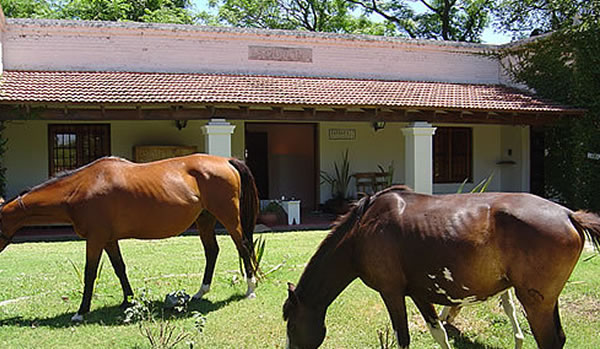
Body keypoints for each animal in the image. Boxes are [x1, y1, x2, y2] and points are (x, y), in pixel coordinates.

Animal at [0, 152, 258, 320]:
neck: (82, 187)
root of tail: (226, 161)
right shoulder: (108, 239)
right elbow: (119, 268)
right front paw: (129, 300)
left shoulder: (95, 239)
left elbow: (90, 273)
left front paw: (81, 312)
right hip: (205, 219)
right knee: (212, 251)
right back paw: (200, 292)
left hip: (228, 219)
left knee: (243, 246)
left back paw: (250, 289)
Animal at [282, 185, 600, 348]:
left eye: (292, 324)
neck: (362, 231)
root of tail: (569, 214)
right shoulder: (418, 294)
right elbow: (439, 333)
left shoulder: (391, 293)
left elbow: (404, 338)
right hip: (546, 302)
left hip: (535, 303)